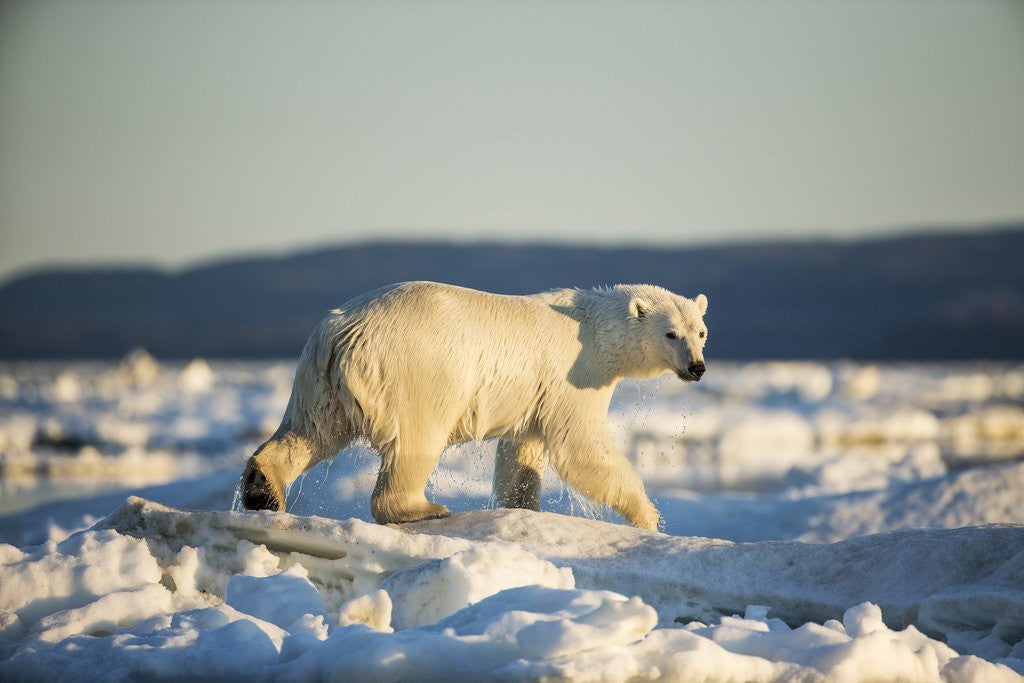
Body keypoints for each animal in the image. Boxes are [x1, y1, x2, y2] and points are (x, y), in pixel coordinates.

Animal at [239, 281, 708, 530]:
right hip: (415, 370)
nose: (697, 367)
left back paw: (263, 490)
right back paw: (424, 508)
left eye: (701, 331)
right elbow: (581, 448)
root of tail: (343, 330)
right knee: (415, 440)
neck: (593, 329)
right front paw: (649, 517)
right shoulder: (575, 375)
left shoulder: (534, 394)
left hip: (318, 376)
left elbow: (521, 456)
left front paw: (524, 509)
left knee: (311, 430)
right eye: (671, 334)